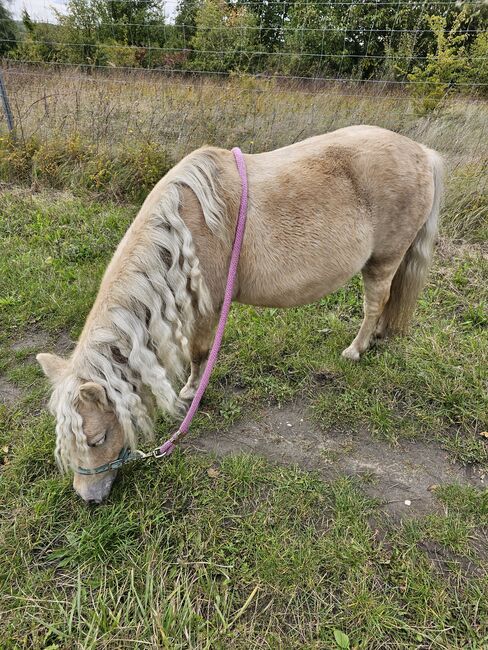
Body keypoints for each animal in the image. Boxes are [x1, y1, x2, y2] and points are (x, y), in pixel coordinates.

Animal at [36, 126, 444, 502]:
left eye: (97, 438)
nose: (88, 497)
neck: (184, 229)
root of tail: (422, 153)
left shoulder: (208, 308)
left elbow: (198, 353)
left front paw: (190, 392)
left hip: (383, 260)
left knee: (375, 303)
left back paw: (356, 350)